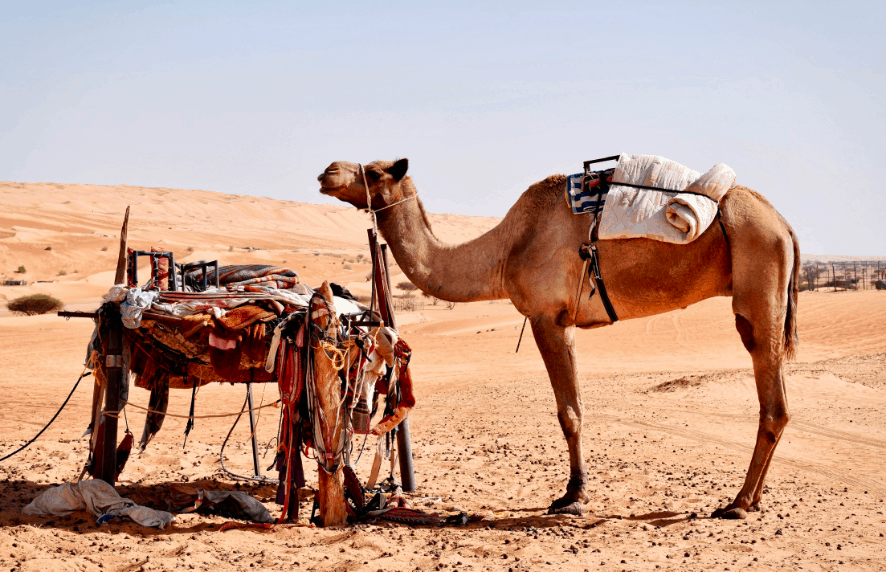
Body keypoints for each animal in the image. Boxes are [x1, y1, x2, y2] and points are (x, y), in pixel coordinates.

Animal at [318, 158, 796, 520]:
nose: (329, 171)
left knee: (773, 402)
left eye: (375, 171)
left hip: (759, 283)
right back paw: (751, 500)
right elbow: (575, 407)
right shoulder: (561, 321)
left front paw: (572, 497)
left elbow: (569, 412)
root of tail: (784, 224)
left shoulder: (548, 319)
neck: (504, 250)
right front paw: (574, 493)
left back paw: (738, 503)